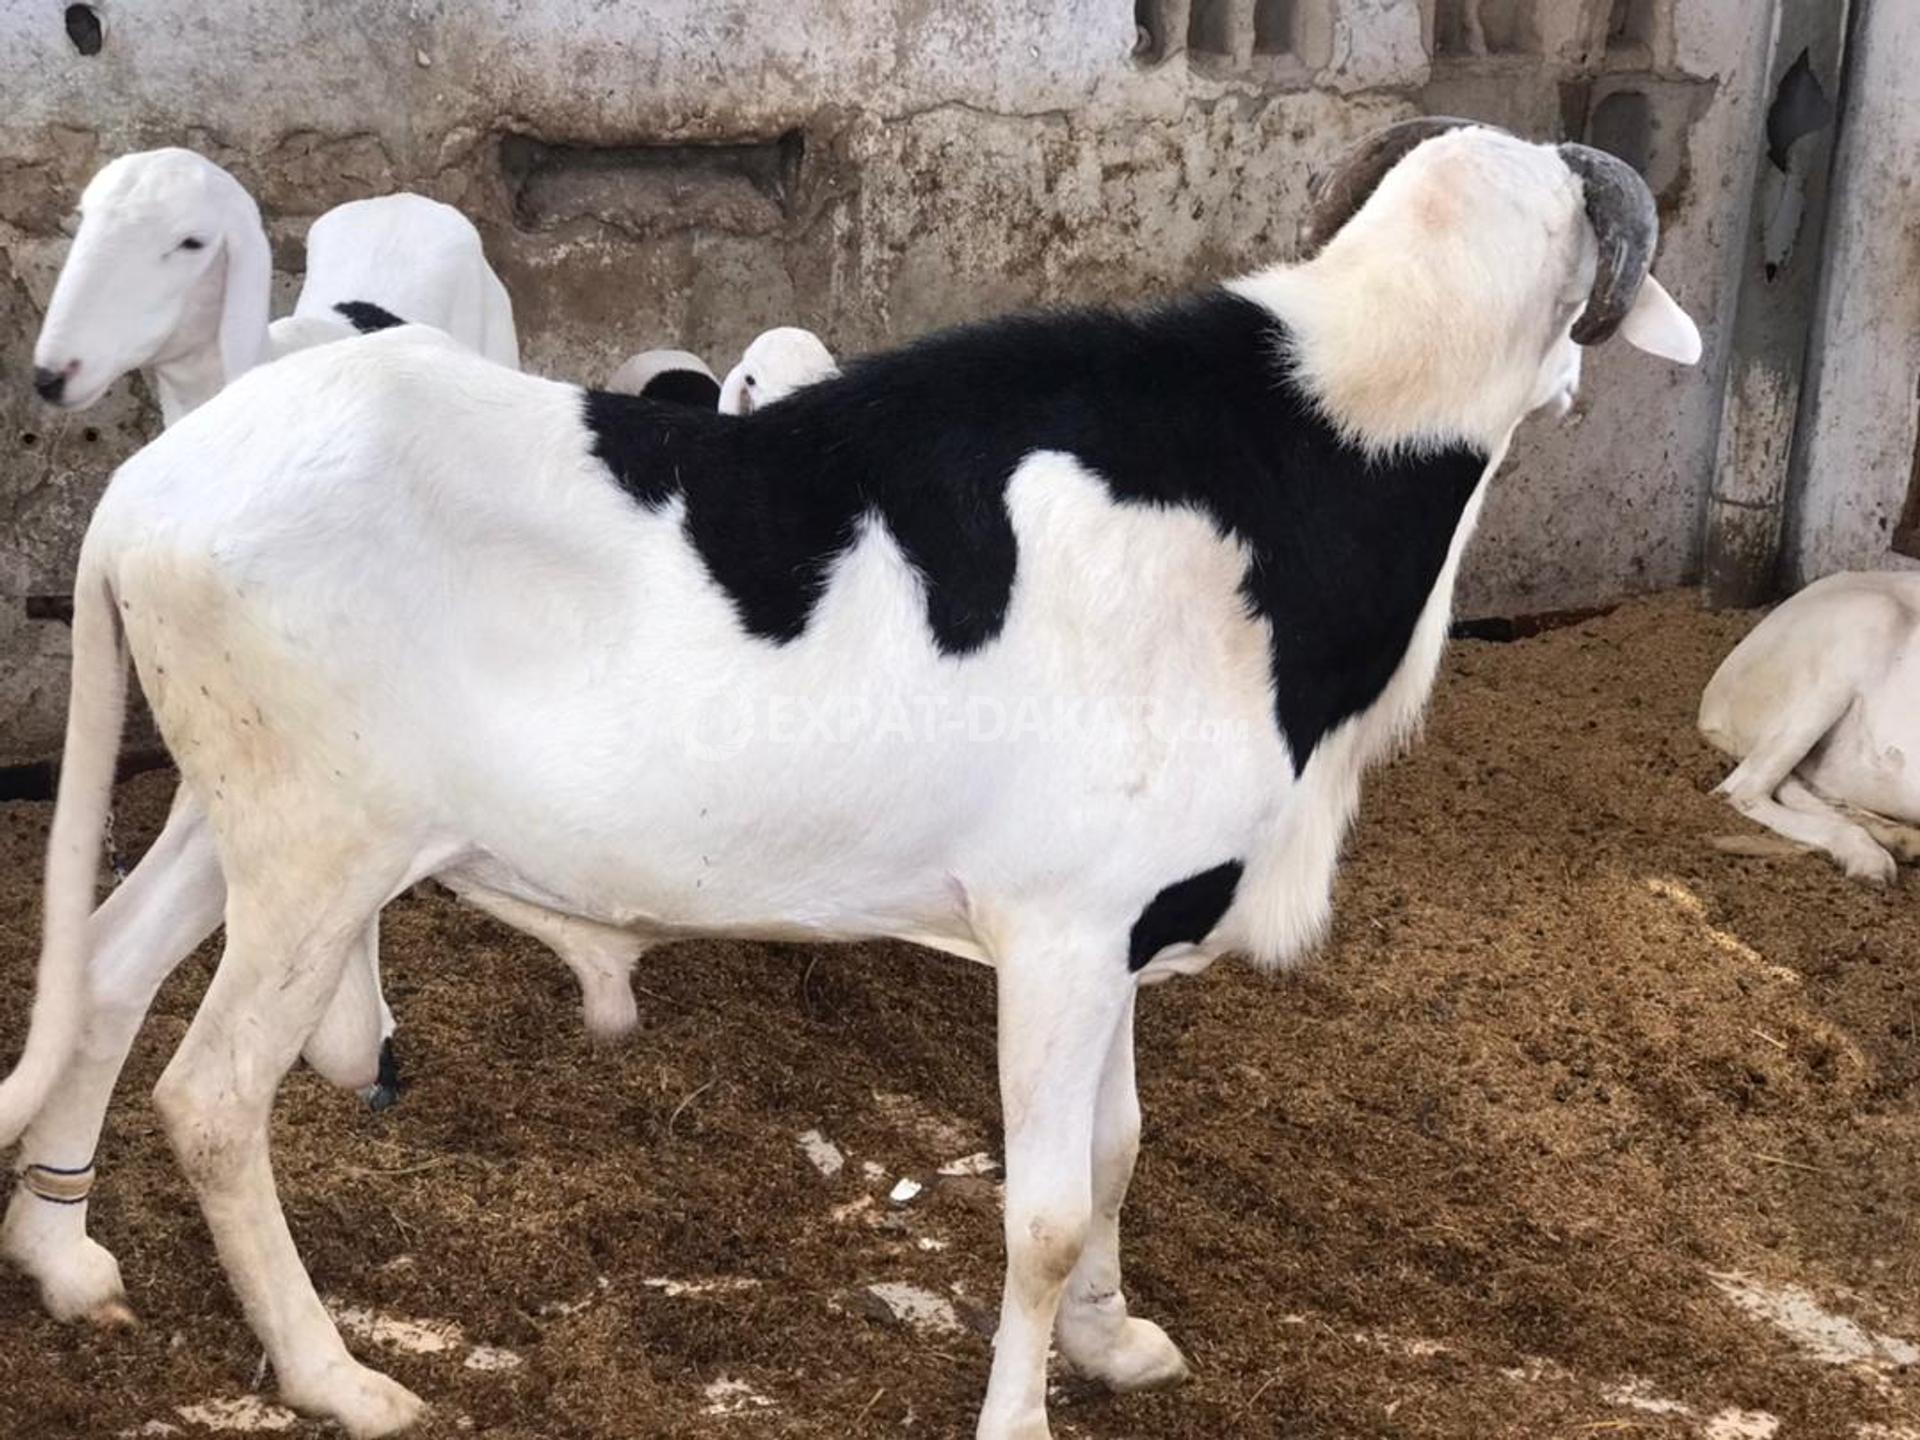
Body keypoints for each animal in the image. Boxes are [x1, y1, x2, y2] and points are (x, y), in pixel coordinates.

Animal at [0, 121, 1699, 1439]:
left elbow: (1116, 1149)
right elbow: (1044, 1208)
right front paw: (1024, 1407)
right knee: (214, 1099)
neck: (1300, 474)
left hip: (244, 808)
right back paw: (334, 1376)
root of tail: (151, 483)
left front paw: (1114, 1341)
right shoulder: (1061, 928)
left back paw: (66, 1257)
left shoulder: (1122, 919)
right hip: (319, 846)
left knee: (107, 971)